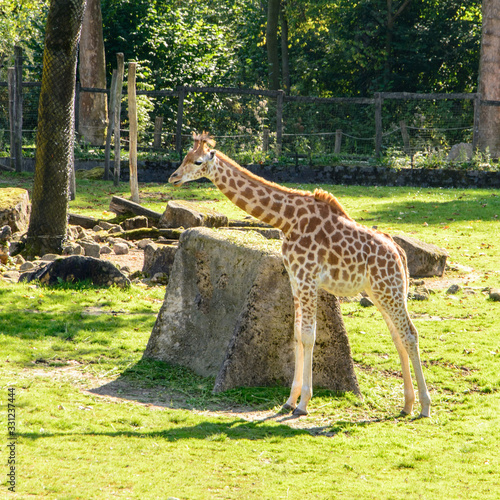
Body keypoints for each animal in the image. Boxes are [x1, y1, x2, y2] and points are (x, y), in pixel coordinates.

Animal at [169, 133, 430, 418]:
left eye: (198, 161)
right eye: (185, 156)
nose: (173, 177)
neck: (287, 220)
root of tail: (400, 254)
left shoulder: (308, 279)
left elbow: (308, 336)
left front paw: (303, 404)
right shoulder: (294, 278)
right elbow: (296, 335)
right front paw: (290, 400)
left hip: (390, 290)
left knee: (410, 334)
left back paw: (425, 406)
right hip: (380, 292)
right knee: (398, 337)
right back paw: (407, 405)